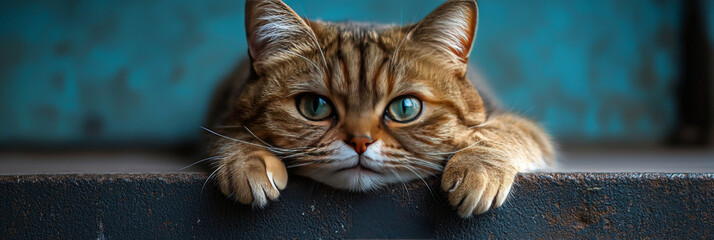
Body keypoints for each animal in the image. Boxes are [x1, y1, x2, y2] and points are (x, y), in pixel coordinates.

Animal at [203, 0, 552, 218]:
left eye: (405, 108)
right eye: (315, 106)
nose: (360, 142)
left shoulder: (530, 134)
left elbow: (504, 131)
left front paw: (477, 167)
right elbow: (228, 133)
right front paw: (248, 159)